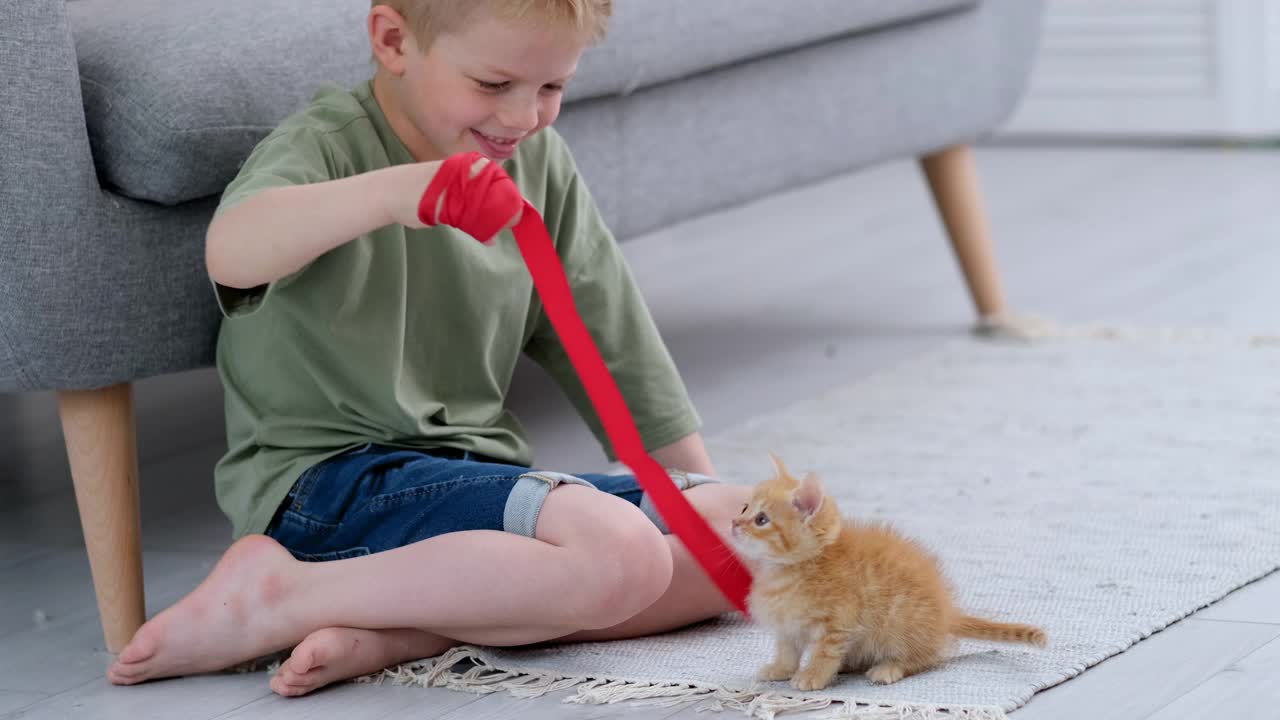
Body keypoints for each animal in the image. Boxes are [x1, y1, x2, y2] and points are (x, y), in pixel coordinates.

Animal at [727, 453, 1044, 691]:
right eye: (744, 507)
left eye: (761, 519)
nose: (734, 523)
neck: (792, 569)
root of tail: (947, 613)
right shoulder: (788, 626)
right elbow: (787, 650)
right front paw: (780, 669)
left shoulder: (838, 624)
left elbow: (824, 653)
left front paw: (812, 676)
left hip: (900, 624)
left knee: (926, 658)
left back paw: (889, 668)